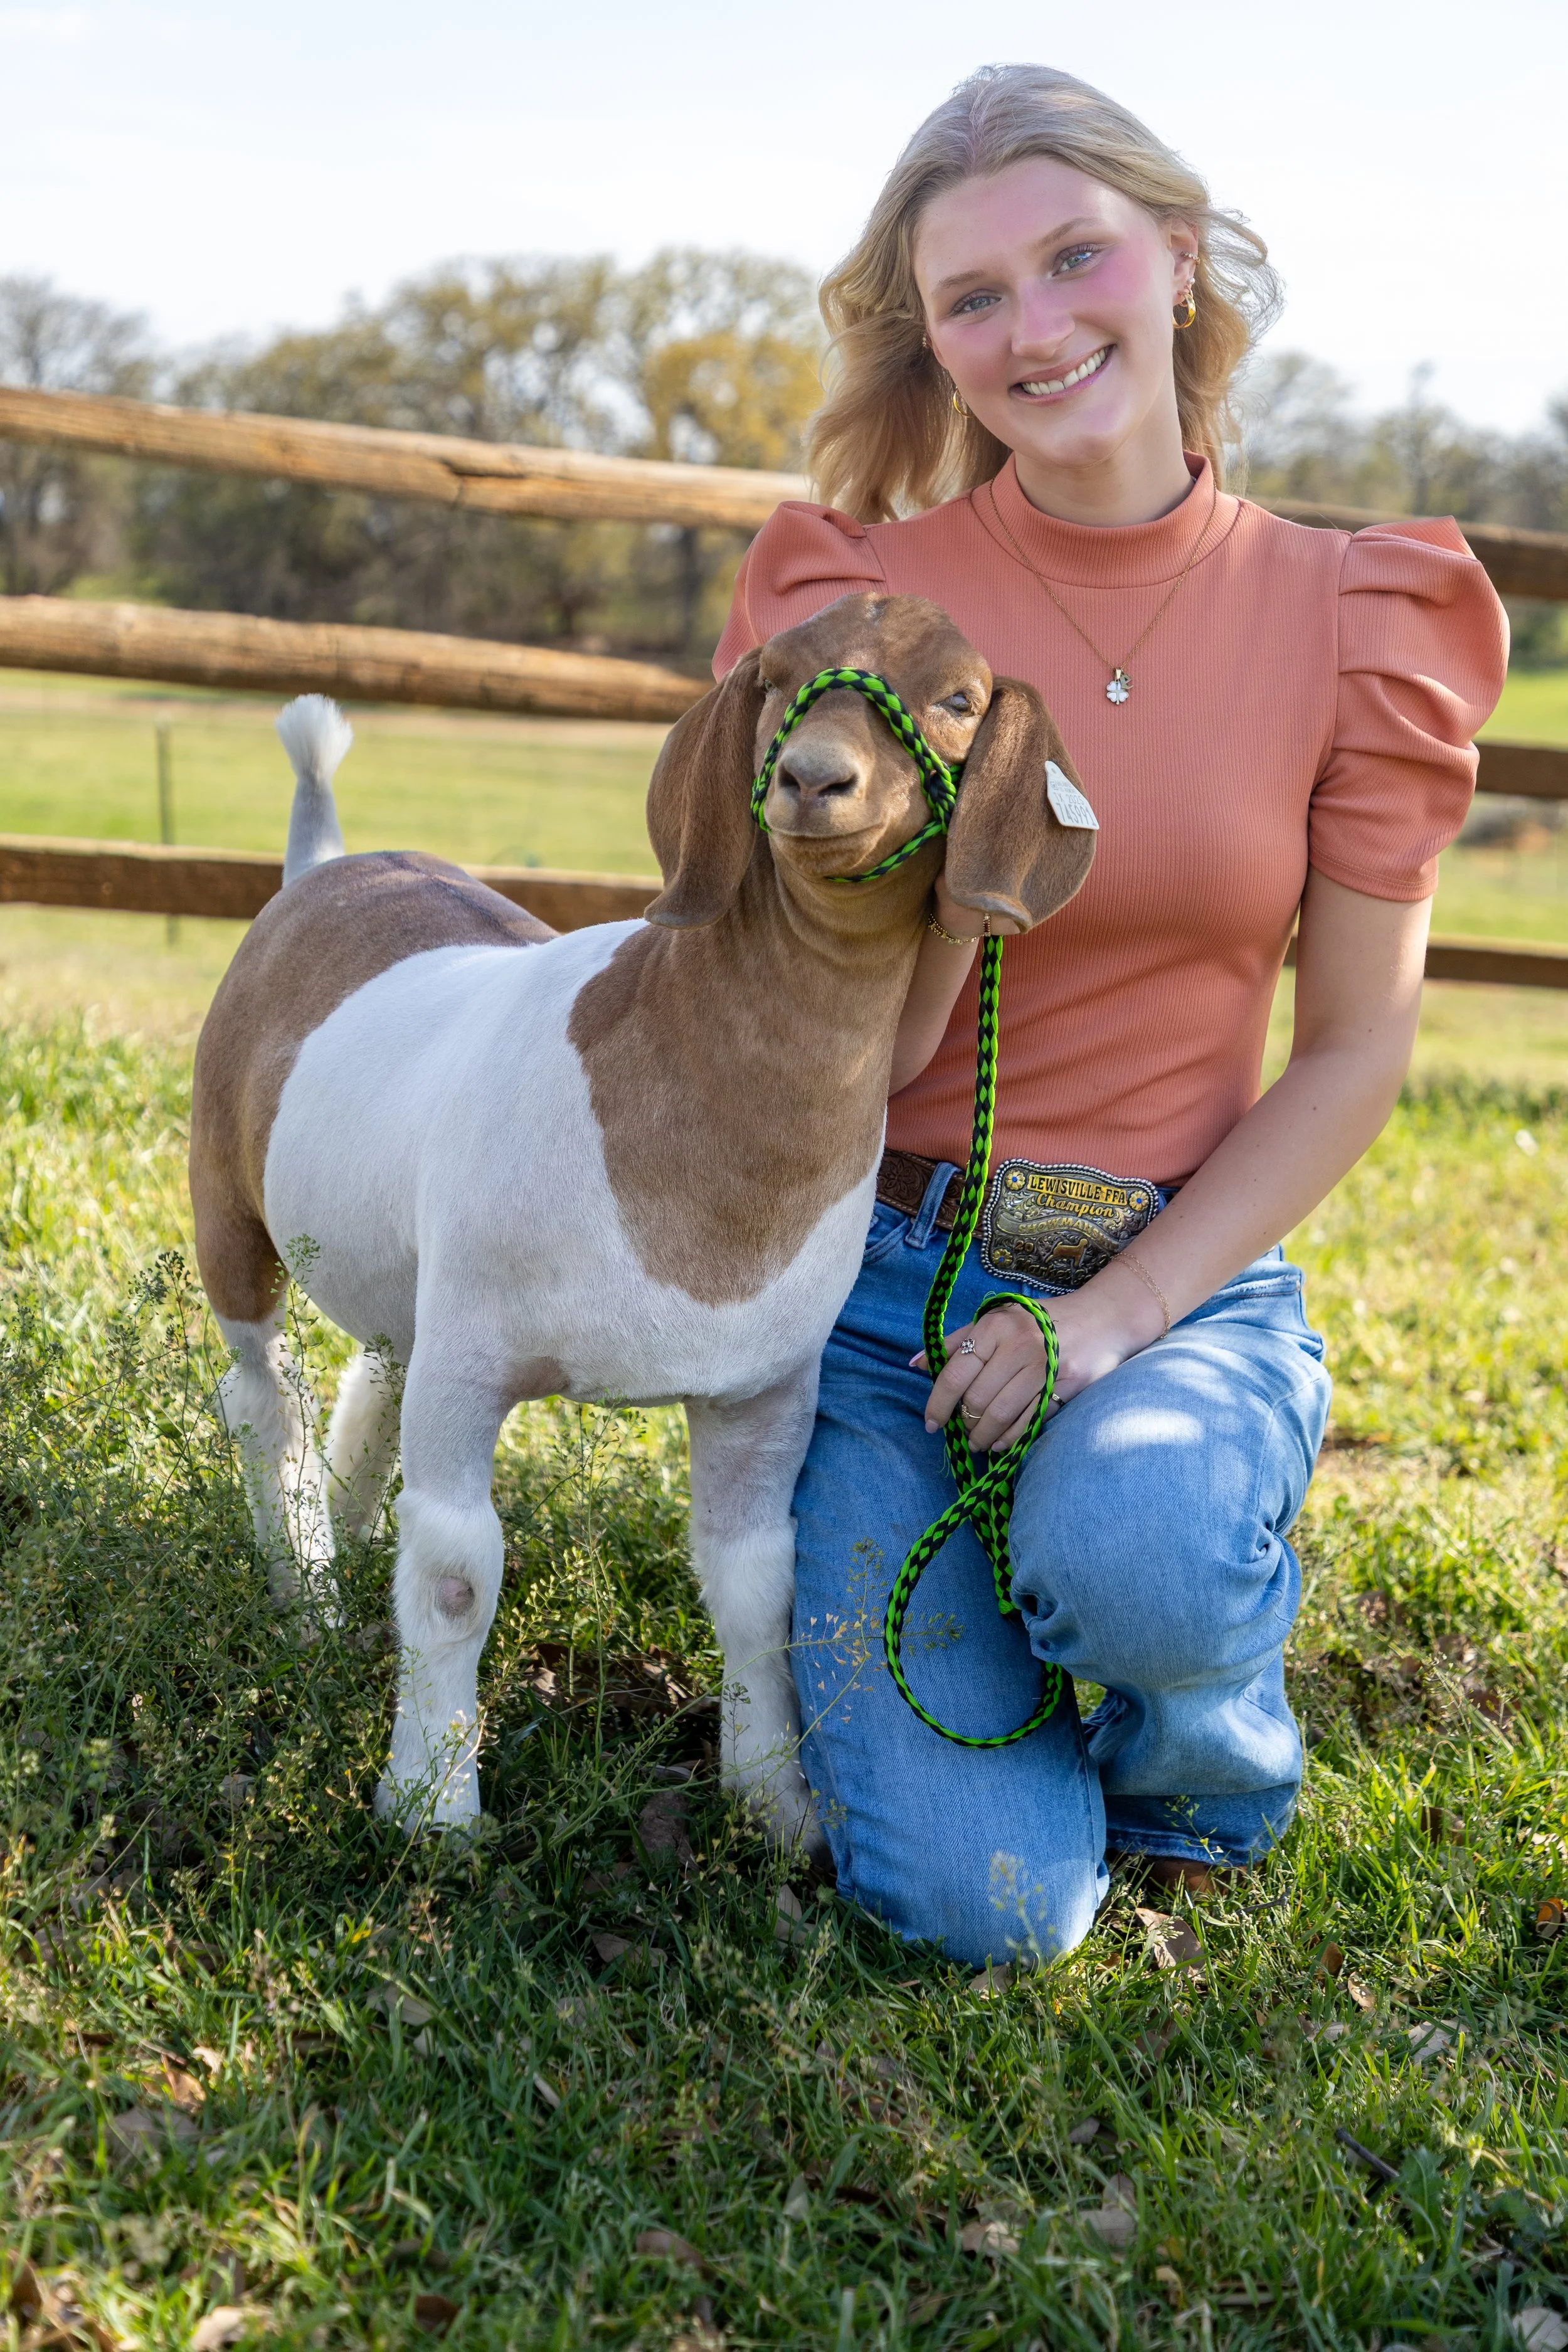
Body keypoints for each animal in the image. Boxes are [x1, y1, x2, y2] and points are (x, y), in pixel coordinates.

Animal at [188, 592, 1095, 1851]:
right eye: (775, 674)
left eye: (960, 698)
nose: (815, 779)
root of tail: (322, 868)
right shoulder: (476, 1353)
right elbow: (457, 1573)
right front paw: (431, 1807)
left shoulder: (766, 1387)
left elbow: (761, 1584)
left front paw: (776, 1805)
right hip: (230, 1208)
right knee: (263, 1395)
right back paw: (307, 1592)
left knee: (375, 1363)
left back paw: (352, 1528)